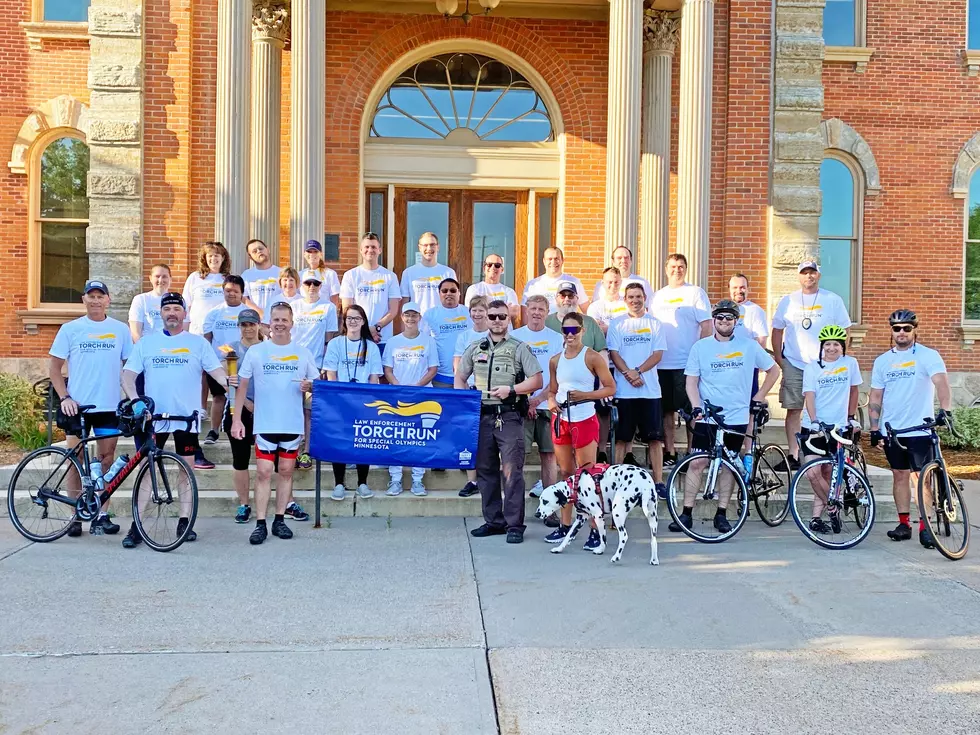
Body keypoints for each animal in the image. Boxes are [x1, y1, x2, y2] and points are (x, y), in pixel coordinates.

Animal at [532, 462, 664, 568]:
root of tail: (644, 483)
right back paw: (654, 559)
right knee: (653, 540)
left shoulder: (598, 515)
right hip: (652, 518)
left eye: (545, 501)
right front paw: (559, 548)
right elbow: (568, 535)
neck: (575, 485)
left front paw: (600, 550)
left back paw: (616, 557)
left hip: (617, 513)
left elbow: (602, 536)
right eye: (541, 500)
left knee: (624, 536)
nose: (537, 514)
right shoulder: (580, 518)